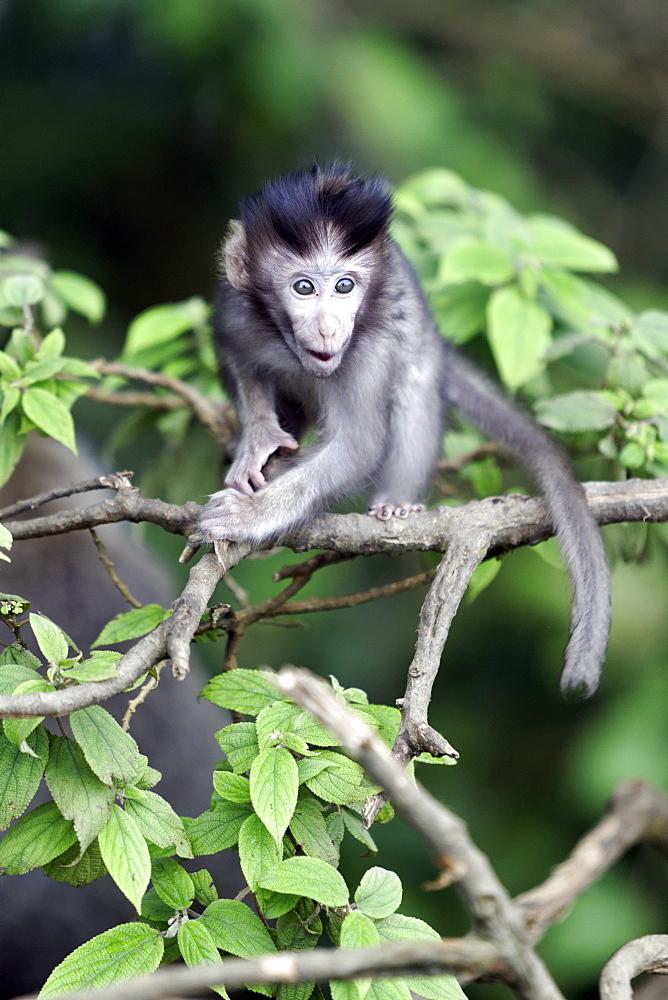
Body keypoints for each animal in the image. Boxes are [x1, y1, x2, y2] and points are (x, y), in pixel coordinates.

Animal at [201, 166, 612, 696]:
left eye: (346, 286)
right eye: (304, 288)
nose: (330, 329)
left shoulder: (366, 351)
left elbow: (358, 445)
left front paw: (250, 515)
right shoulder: (237, 312)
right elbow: (232, 354)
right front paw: (258, 440)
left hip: (417, 354)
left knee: (412, 388)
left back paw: (396, 501)